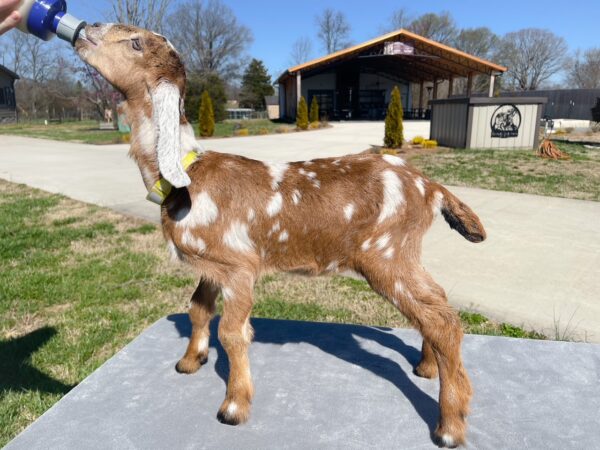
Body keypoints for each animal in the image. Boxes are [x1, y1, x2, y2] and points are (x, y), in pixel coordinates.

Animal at [75, 22, 488, 448]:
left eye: (135, 42)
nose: (84, 28)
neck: (184, 177)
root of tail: (432, 187)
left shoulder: (239, 265)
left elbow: (232, 332)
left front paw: (234, 407)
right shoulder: (212, 265)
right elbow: (198, 309)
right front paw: (190, 361)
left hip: (385, 254)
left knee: (442, 320)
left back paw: (450, 426)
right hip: (403, 252)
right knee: (438, 303)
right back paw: (427, 368)